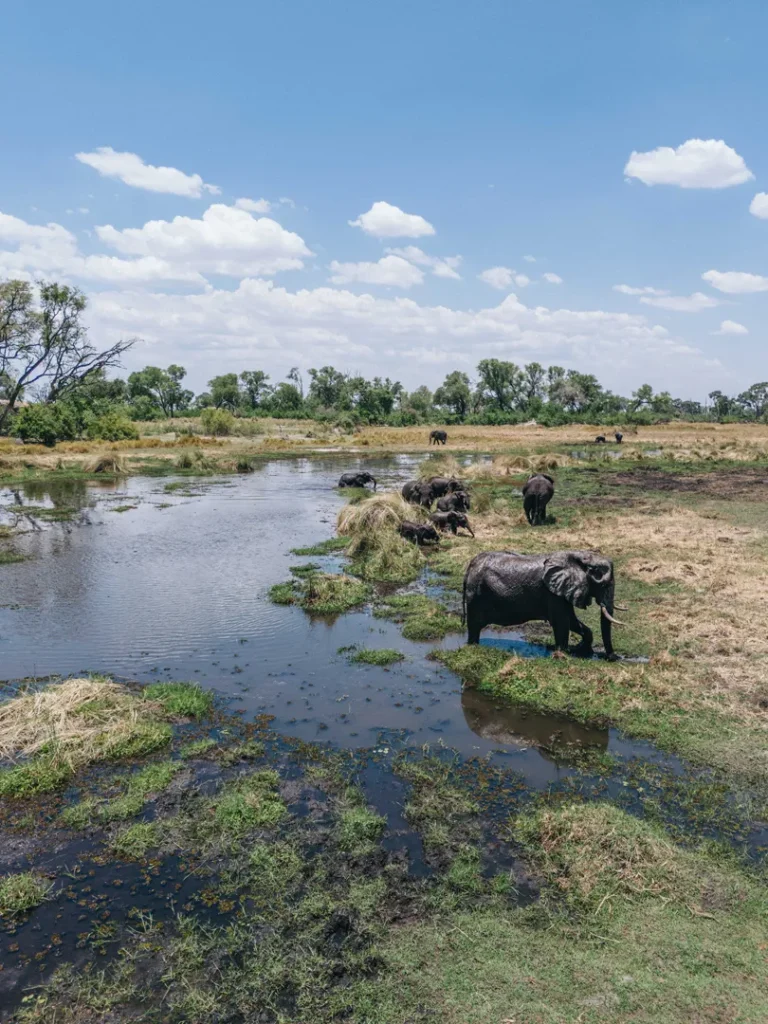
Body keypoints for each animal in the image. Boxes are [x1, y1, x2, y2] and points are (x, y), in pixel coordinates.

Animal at [462, 548, 626, 659]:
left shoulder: (562, 591)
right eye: (602, 584)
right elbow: (561, 622)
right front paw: (564, 654)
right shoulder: (552, 593)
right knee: (474, 625)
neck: (579, 557)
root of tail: (471, 565)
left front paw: (581, 651)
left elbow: (572, 621)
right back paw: (472, 647)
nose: (613, 658)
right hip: (475, 595)